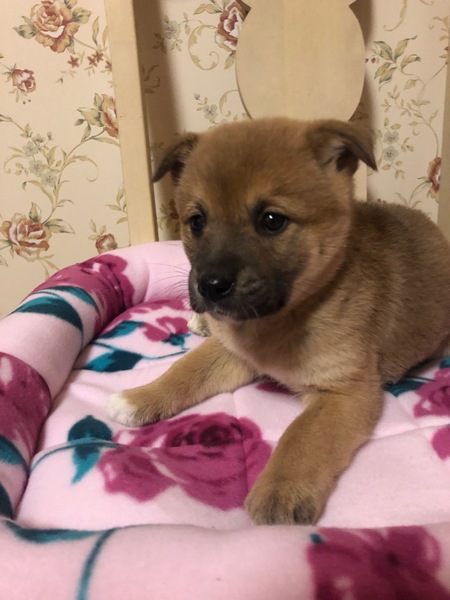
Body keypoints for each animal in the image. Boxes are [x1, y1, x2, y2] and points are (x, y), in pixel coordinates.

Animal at [108, 117, 450, 525]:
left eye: (271, 220)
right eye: (197, 221)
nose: (211, 286)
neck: (281, 319)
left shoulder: (345, 392)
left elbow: (301, 437)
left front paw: (280, 494)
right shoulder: (232, 354)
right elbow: (184, 372)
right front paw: (139, 397)